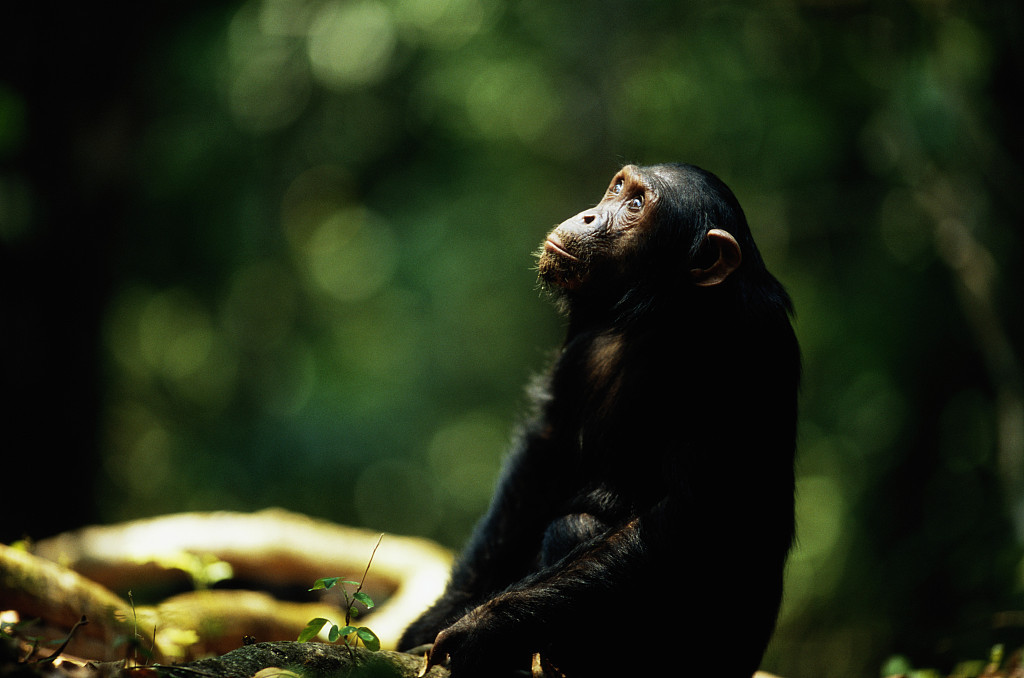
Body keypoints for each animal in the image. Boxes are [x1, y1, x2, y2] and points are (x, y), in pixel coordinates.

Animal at [399, 164, 798, 678]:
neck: (660, 311)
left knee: (576, 525)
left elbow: (685, 512)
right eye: (619, 188)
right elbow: (547, 450)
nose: (591, 215)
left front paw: (485, 627)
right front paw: (440, 617)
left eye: (636, 206)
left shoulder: (746, 343)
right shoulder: (581, 338)